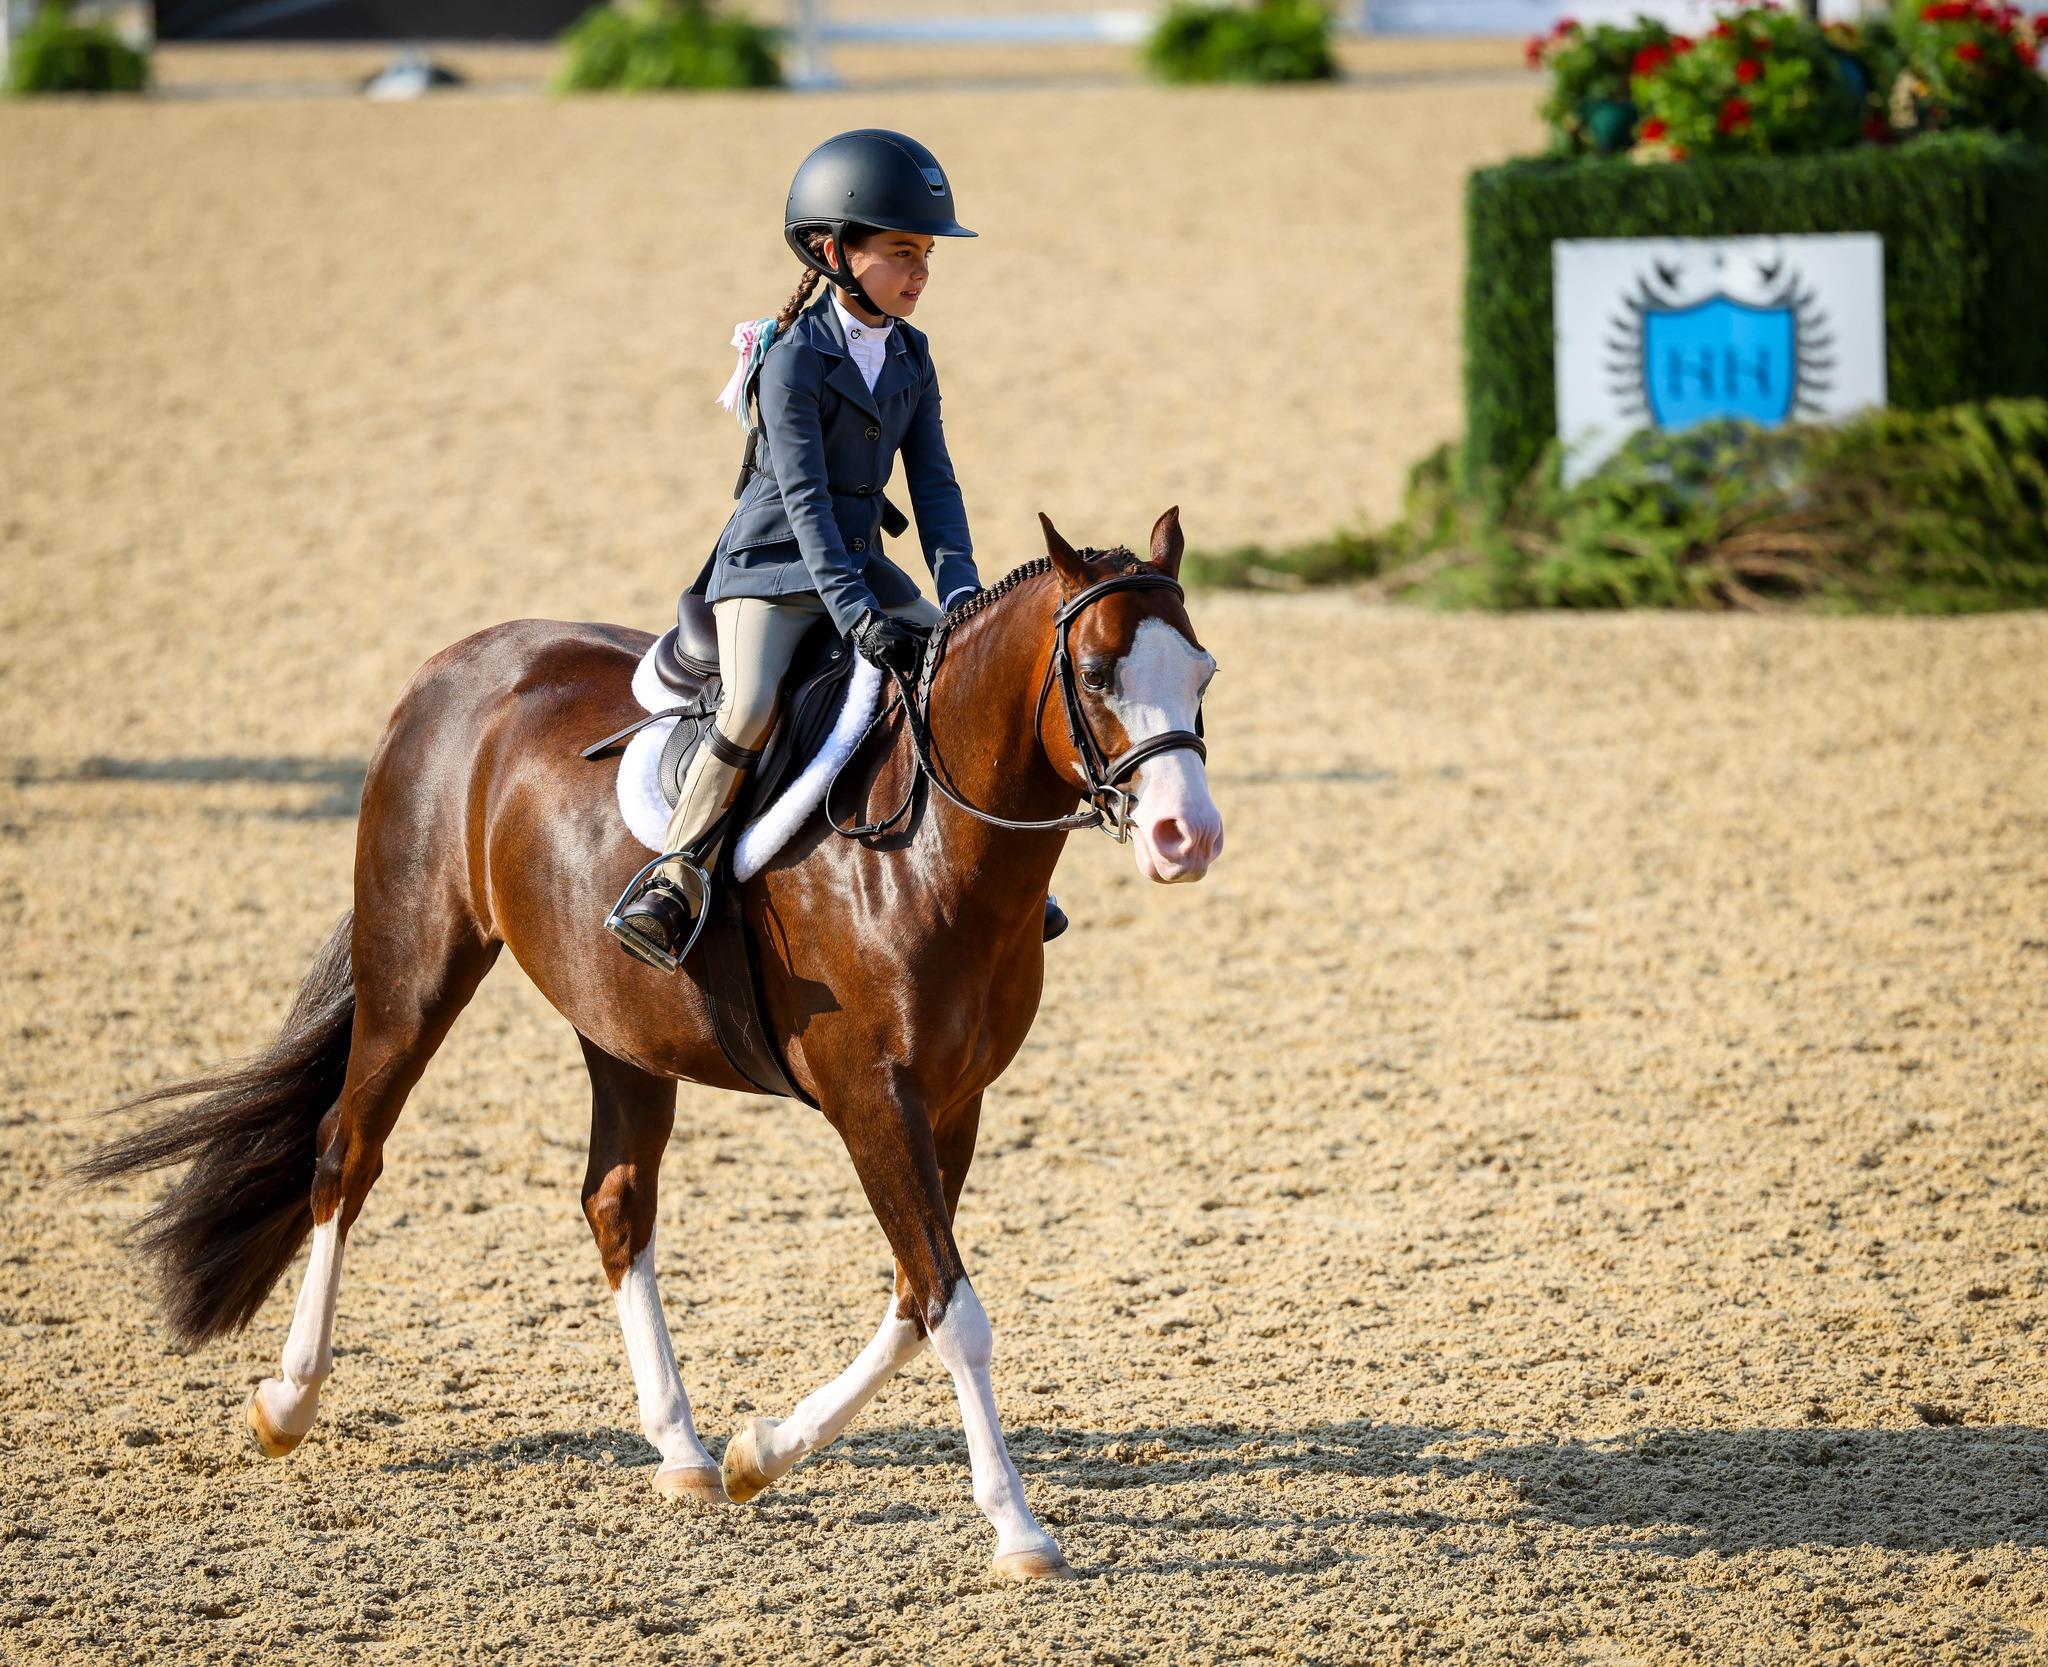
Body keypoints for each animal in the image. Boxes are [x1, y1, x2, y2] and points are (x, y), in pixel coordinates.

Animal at [81, 507, 1223, 1583]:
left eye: (1203, 669)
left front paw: (761, 1451)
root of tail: (453, 667)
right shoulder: (873, 1098)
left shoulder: (954, 1101)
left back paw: (681, 1447)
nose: (1189, 838)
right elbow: (950, 1305)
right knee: (344, 1155)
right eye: (1092, 674)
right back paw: (287, 1399)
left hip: (618, 1026)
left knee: (614, 1203)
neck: (928, 848)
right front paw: (1017, 1527)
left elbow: (913, 1294)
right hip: (416, 970)